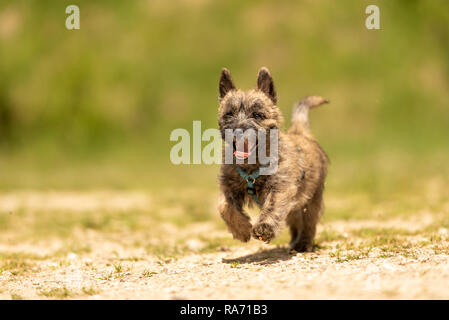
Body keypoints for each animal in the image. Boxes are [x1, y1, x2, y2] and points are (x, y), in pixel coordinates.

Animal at [215, 68, 328, 252]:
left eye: (257, 115)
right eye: (229, 114)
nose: (239, 130)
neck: (251, 167)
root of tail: (300, 133)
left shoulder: (280, 187)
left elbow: (272, 206)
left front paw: (264, 227)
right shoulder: (228, 187)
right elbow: (225, 207)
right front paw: (241, 230)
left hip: (312, 199)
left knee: (309, 223)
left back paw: (303, 244)